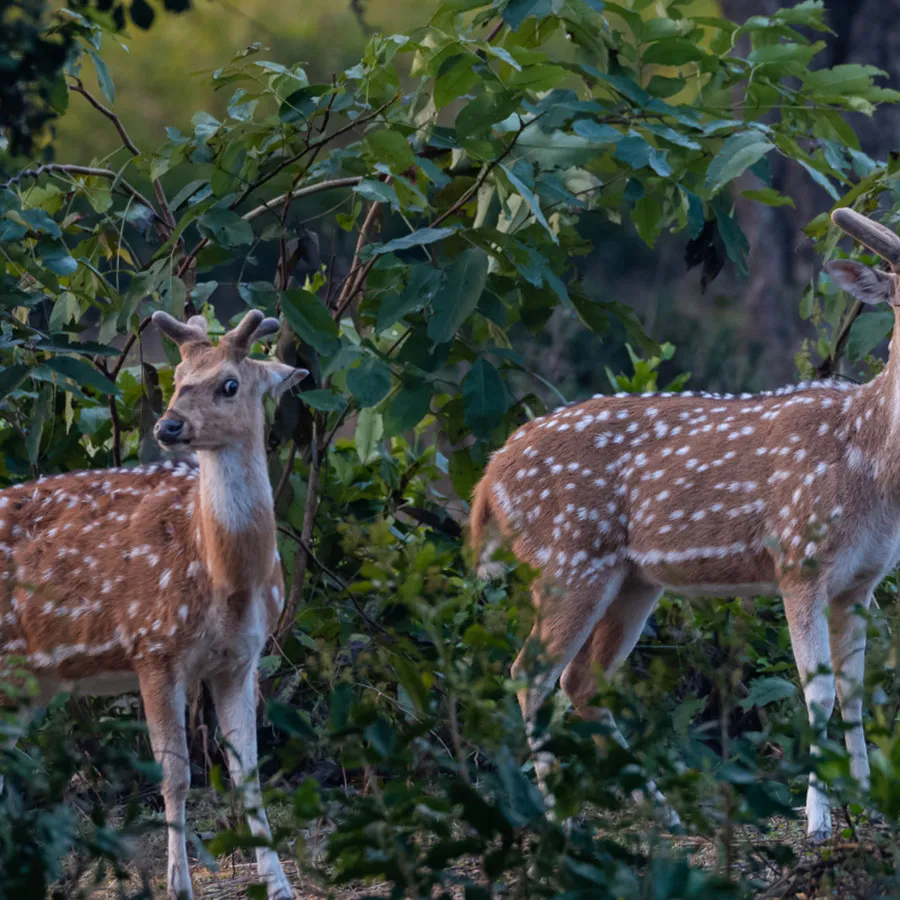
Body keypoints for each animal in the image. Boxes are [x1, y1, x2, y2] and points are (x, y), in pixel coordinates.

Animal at [0, 309, 307, 898]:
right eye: (176, 378)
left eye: (228, 384)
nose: (168, 427)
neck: (225, 577)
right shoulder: (153, 645)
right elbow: (176, 775)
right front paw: (178, 884)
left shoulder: (241, 659)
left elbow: (247, 773)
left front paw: (280, 884)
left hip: (30, 680)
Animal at [470, 207, 900, 843]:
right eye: (895, 292)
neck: (869, 465)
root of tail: (488, 478)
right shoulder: (798, 558)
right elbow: (818, 691)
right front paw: (818, 820)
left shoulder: (862, 582)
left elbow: (855, 693)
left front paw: (868, 804)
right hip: (569, 557)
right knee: (530, 673)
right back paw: (558, 819)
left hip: (632, 580)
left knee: (581, 681)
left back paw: (663, 812)